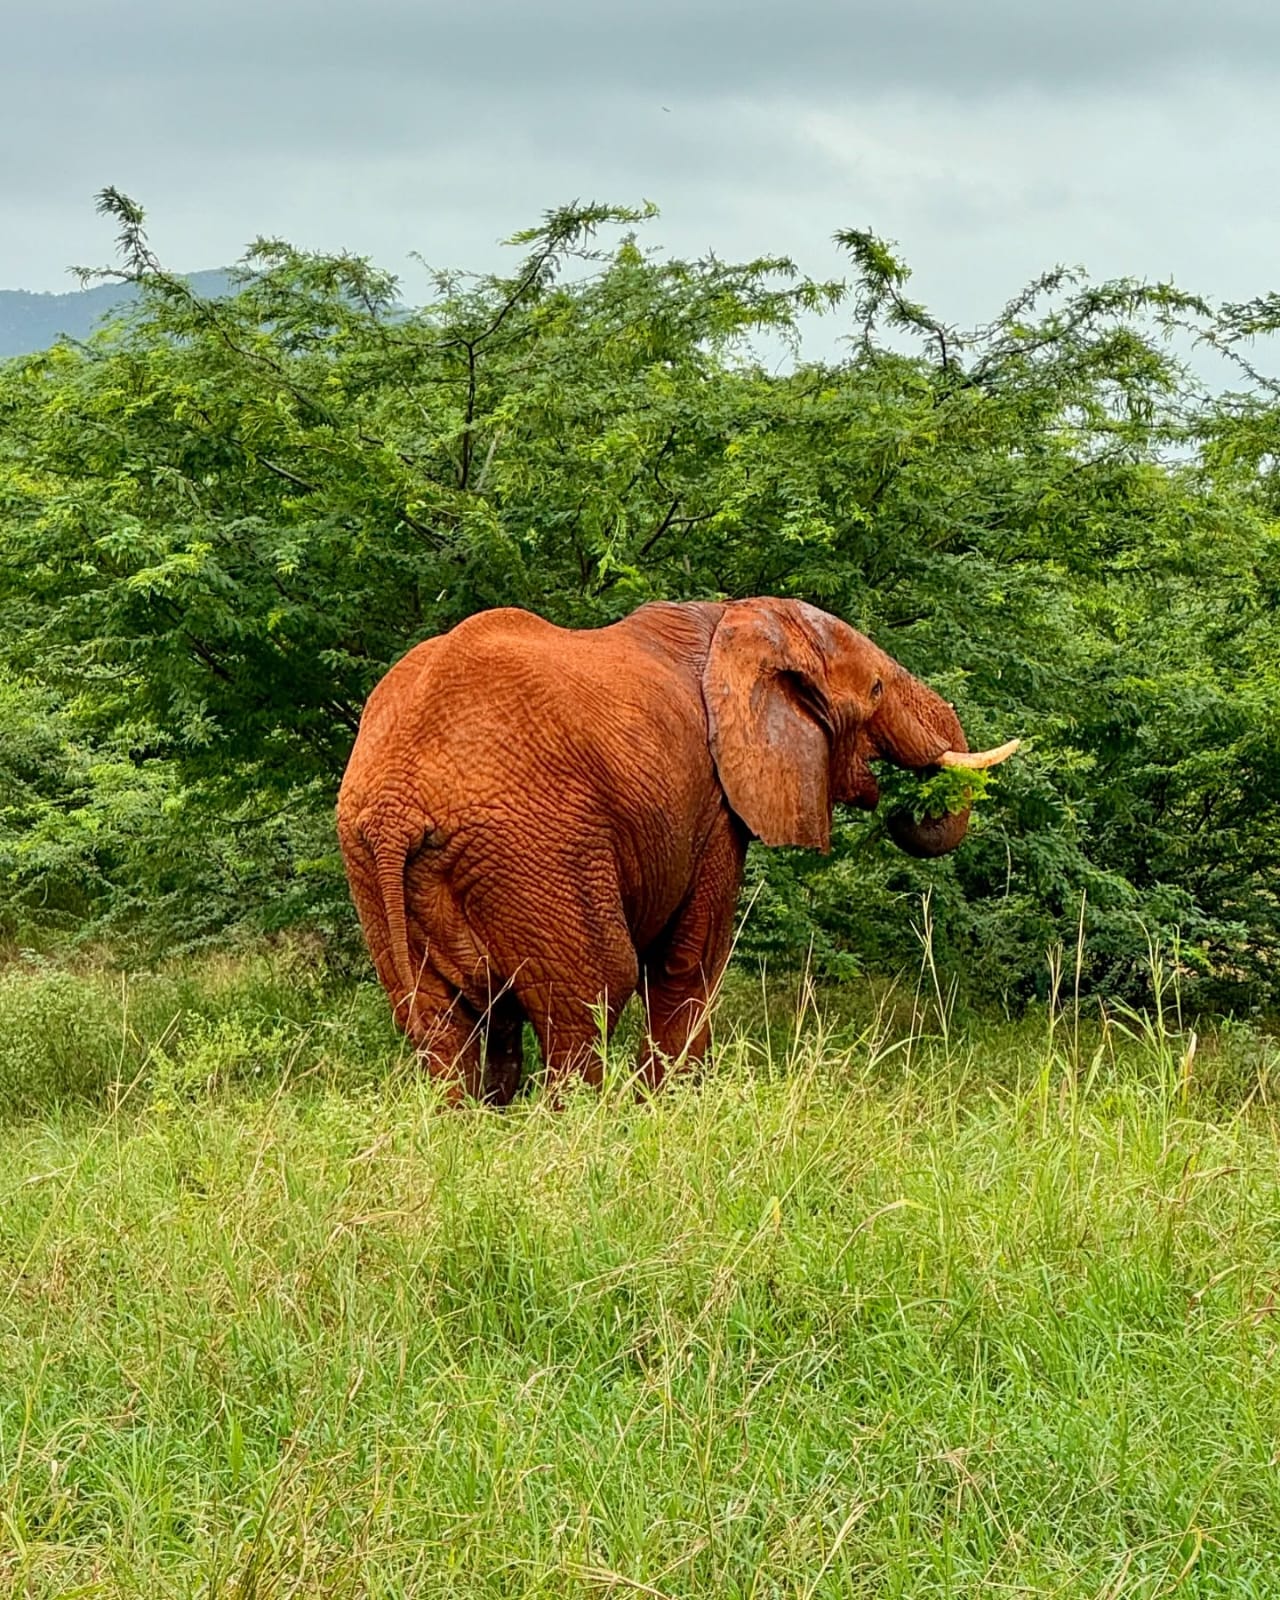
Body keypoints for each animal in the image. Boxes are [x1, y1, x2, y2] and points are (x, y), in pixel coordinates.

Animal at [336, 597, 1017, 1104]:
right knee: (589, 995)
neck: (738, 621)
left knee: (442, 1023)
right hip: (535, 850)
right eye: (876, 688)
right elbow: (688, 960)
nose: (906, 809)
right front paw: (673, 1105)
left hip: (376, 869)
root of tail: (396, 803)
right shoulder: (714, 803)